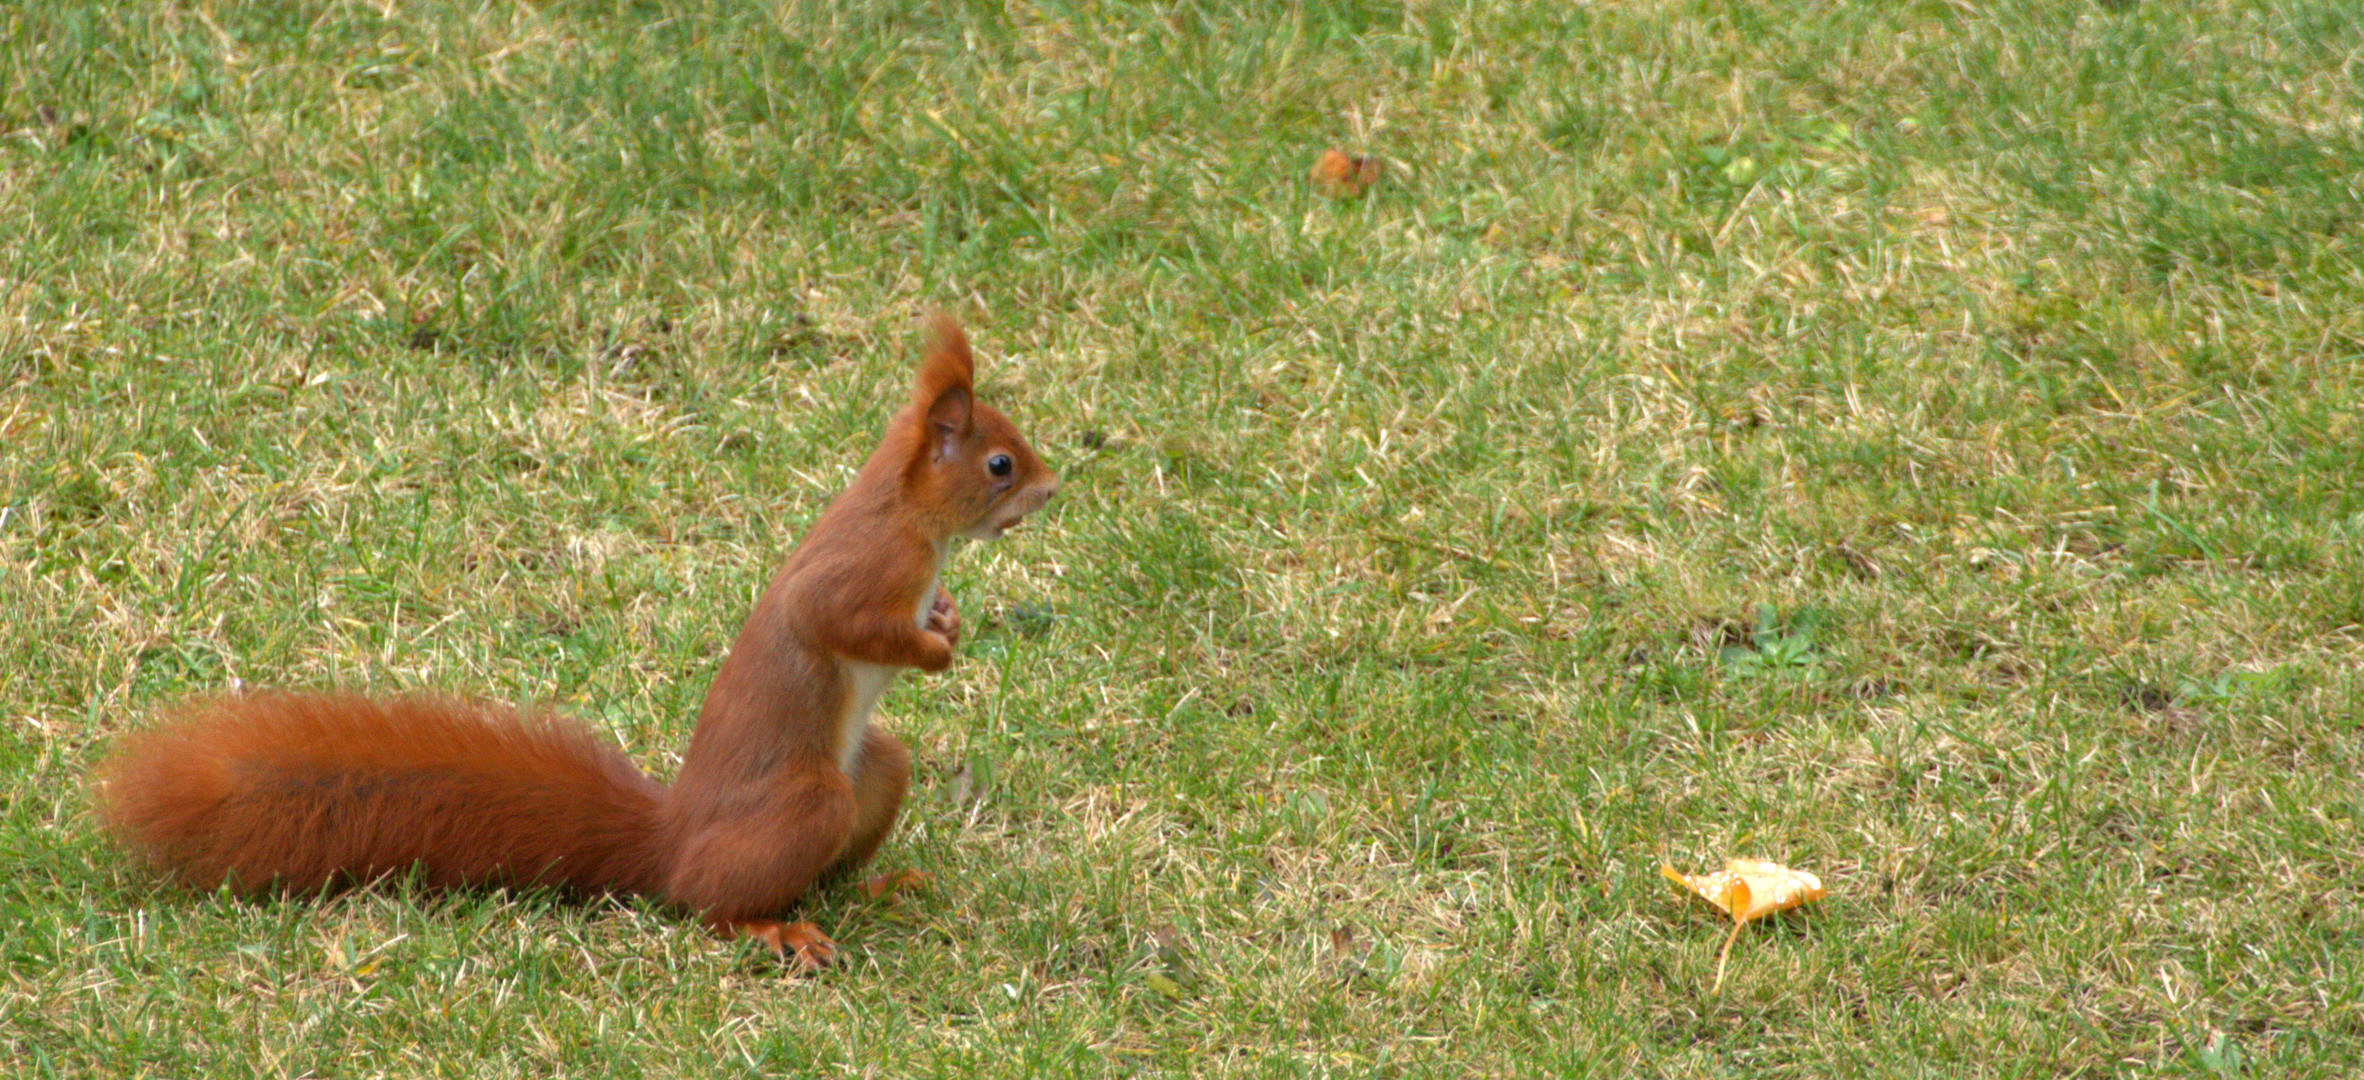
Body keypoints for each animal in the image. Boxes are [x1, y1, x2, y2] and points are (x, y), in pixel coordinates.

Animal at [89, 311, 1054, 968]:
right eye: (999, 463)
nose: (1051, 489)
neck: (911, 520)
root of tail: (671, 839)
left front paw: (947, 619)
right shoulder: (862, 571)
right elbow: (839, 623)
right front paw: (934, 649)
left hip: (873, 770)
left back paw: (878, 888)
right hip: (804, 801)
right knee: (710, 901)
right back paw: (770, 927)